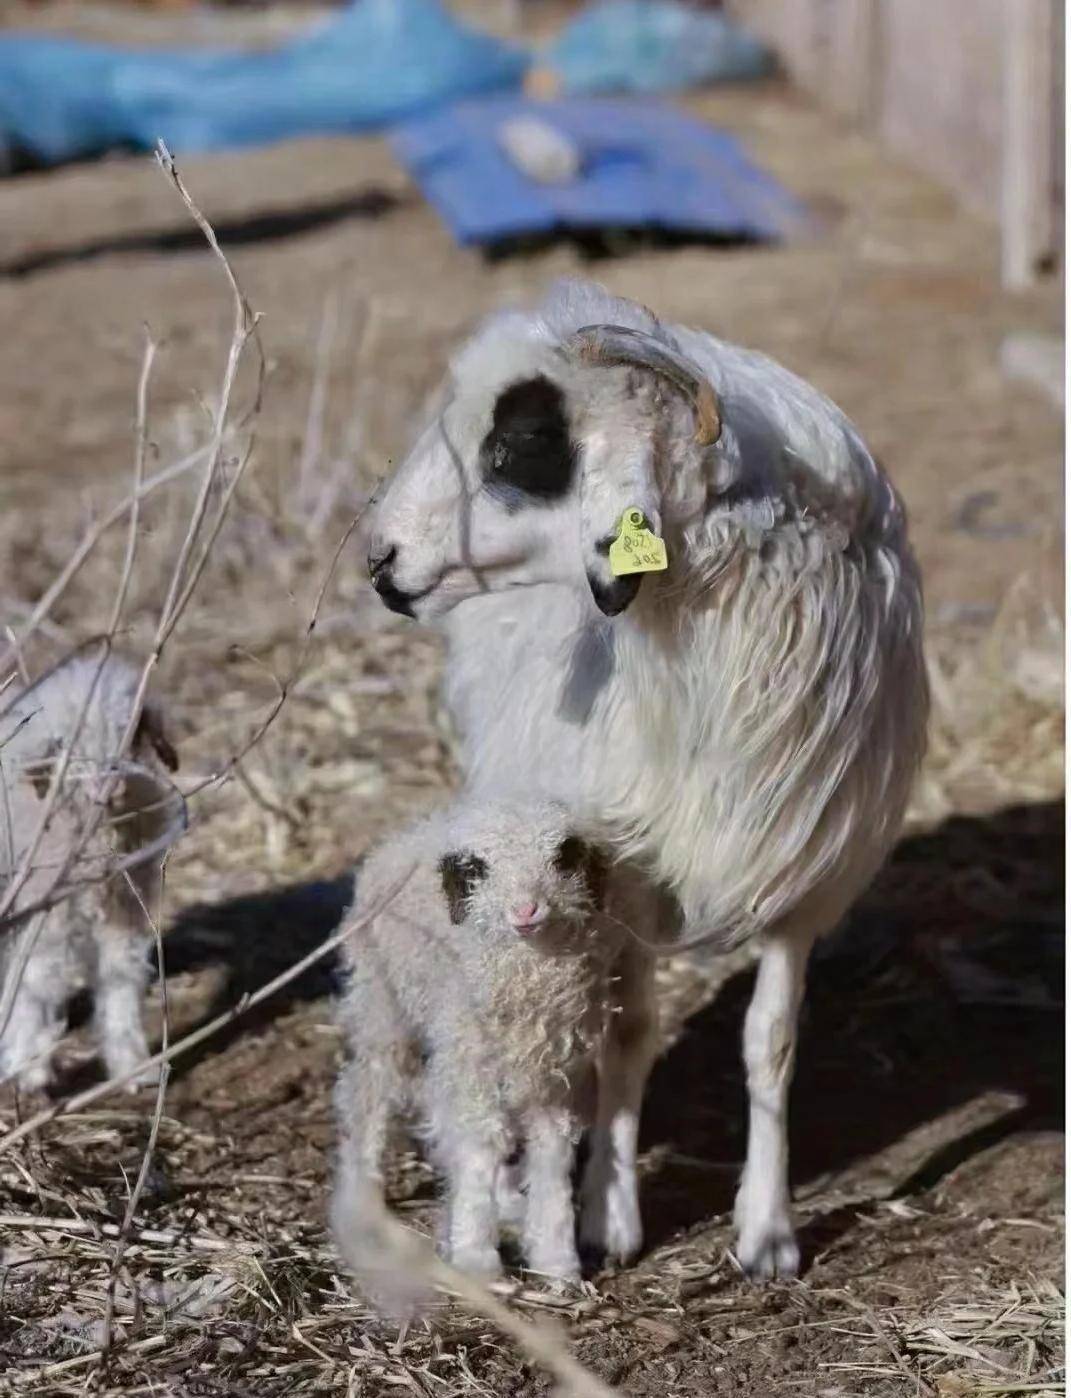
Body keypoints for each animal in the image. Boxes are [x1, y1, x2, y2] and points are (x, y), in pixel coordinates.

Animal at [0, 646, 183, 1092]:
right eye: (66, 746)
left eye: (131, 732)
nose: (110, 790)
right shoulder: (39, 913)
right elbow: (36, 982)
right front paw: (29, 1069)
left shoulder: (126, 907)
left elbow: (122, 977)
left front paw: (134, 1068)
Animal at [330, 795, 652, 1289]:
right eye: (477, 868)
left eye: (562, 858)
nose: (526, 911)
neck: (528, 979)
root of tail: (400, 839)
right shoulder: (473, 1061)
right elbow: (482, 1145)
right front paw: (475, 1259)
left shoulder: (553, 1078)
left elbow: (552, 1157)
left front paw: (558, 1264)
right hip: (384, 1004)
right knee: (369, 1090)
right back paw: (364, 1196)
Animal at [360, 278, 929, 1278]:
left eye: (518, 442)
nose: (378, 559)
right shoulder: (620, 877)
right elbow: (624, 1035)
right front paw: (604, 1213)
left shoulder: (802, 880)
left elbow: (770, 1043)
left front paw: (766, 1232)